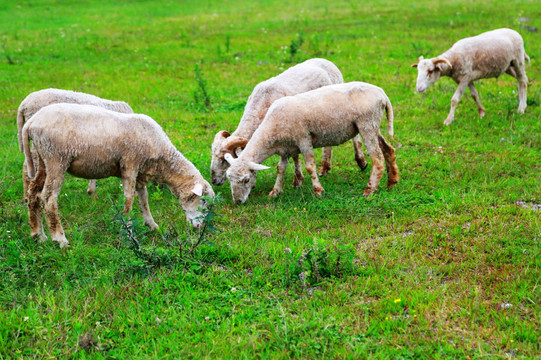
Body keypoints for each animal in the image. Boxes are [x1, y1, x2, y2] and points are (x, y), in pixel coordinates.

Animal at [23, 102, 214, 249]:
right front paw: (128, 232)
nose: (199, 227)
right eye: (203, 201)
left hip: (43, 160)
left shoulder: (140, 172)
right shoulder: (130, 164)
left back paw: (38, 235)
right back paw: (60, 240)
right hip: (56, 159)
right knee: (48, 198)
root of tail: (31, 122)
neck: (162, 159)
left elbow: (144, 199)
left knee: (33, 193)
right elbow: (128, 200)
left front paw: (151, 224)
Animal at [209, 57, 364, 187]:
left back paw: (361, 162)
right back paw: (325, 167)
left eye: (224, 159)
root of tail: (328, 61)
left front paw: (297, 180)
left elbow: (295, 156)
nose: (214, 181)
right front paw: (299, 178)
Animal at [223, 82, 396, 205]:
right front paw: (275, 192)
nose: (238, 202)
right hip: (374, 125)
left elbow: (309, 166)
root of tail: (382, 94)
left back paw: (370, 190)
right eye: (229, 179)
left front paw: (318, 191)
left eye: (246, 180)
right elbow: (280, 169)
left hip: (367, 124)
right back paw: (392, 182)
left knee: (377, 158)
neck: (271, 131)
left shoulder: (303, 139)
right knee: (388, 150)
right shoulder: (285, 148)